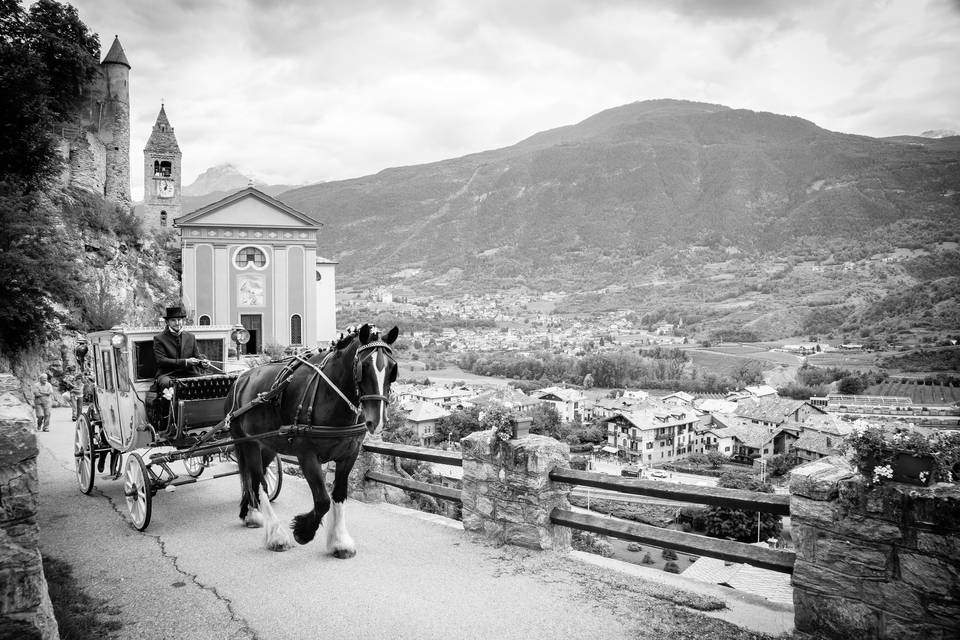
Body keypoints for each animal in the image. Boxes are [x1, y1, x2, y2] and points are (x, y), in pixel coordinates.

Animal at [226, 324, 398, 556]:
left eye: (392, 369)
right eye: (363, 368)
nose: (377, 421)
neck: (329, 394)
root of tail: (241, 378)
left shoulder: (349, 454)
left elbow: (339, 494)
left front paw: (339, 541)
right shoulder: (306, 455)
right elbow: (323, 500)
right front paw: (303, 531)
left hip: (268, 445)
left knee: (254, 478)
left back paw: (250, 513)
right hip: (246, 442)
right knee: (258, 482)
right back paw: (276, 534)